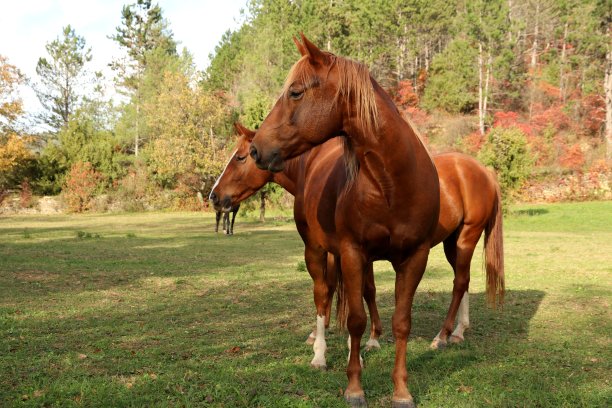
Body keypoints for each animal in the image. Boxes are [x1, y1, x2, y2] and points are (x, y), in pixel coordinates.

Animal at [246, 36, 504, 406]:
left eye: (295, 92)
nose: (256, 149)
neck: (391, 183)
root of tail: (483, 171)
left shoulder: (414, 257)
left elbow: (402, 322)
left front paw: (401, 391)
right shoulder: (354, 254)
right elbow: (356, 318)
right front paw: (354, 387)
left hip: (464, 239)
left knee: (460, 282)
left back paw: (445, 336)